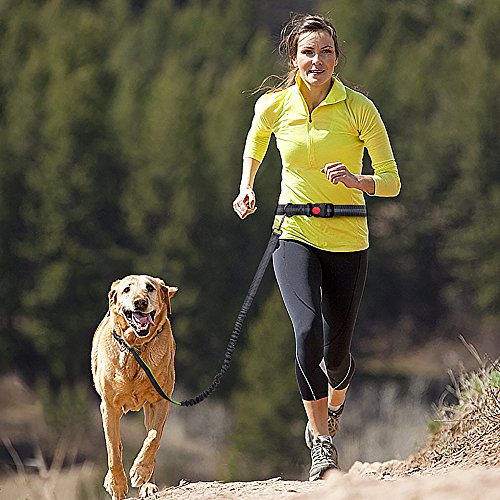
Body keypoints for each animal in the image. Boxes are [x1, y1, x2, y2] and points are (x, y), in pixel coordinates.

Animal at [91, 275, 177, 499]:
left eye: (150, 288)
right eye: (126, 289)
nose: (140, 302)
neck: (136, 347)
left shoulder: (160, 401)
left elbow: (154, 438)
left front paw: (140, 471)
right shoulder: (109, 407)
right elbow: (113, 447)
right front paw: (117, 485)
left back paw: (147, 483)